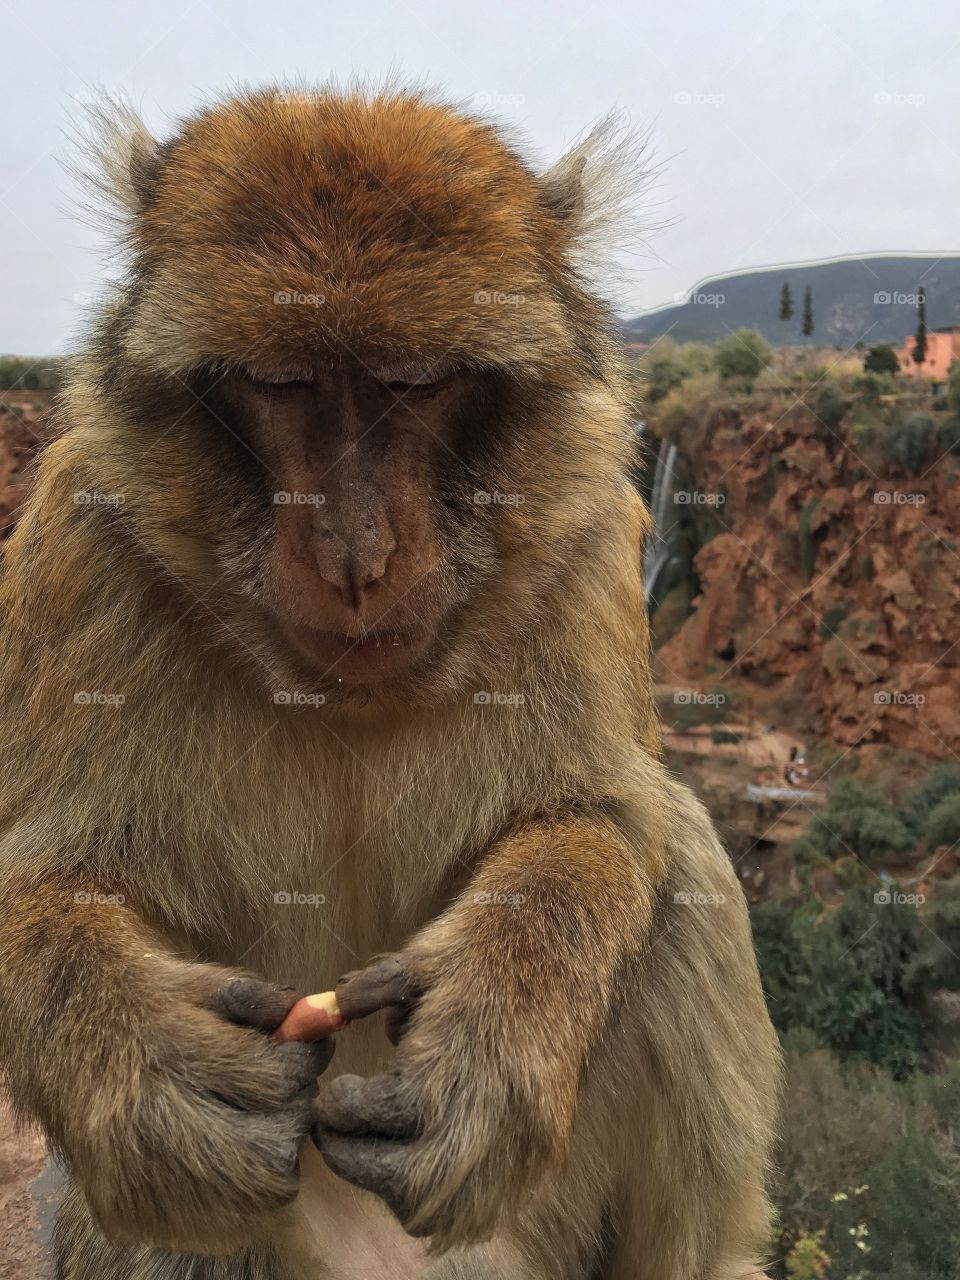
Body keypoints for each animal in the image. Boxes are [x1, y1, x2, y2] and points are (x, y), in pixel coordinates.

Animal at [0, 86, 780, 1280]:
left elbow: (604, 815)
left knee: (687, 869)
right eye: (281, 383)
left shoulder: (585, 524)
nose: (355, 558)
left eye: (414, 383)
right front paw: (139, 1066)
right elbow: (47, 869)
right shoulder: (79, 533)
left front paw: (497, 1019)